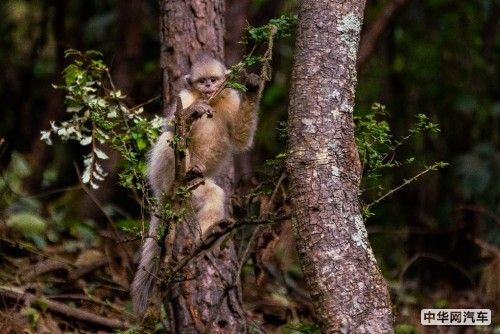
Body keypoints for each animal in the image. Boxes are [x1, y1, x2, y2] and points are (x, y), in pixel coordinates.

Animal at [131, 53, 264, 320]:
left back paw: (206, 237)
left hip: (194, 193)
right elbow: (173, 128)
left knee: (215, 194)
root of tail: (164, 195)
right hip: (165, 178)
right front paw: (196, 110)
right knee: (168, 140)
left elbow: (241, 138)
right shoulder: (183, 98)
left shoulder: (230, 99)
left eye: (213, 79)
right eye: (202, 81)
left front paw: (254, 86)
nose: (209, 87)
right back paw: (188, 171)